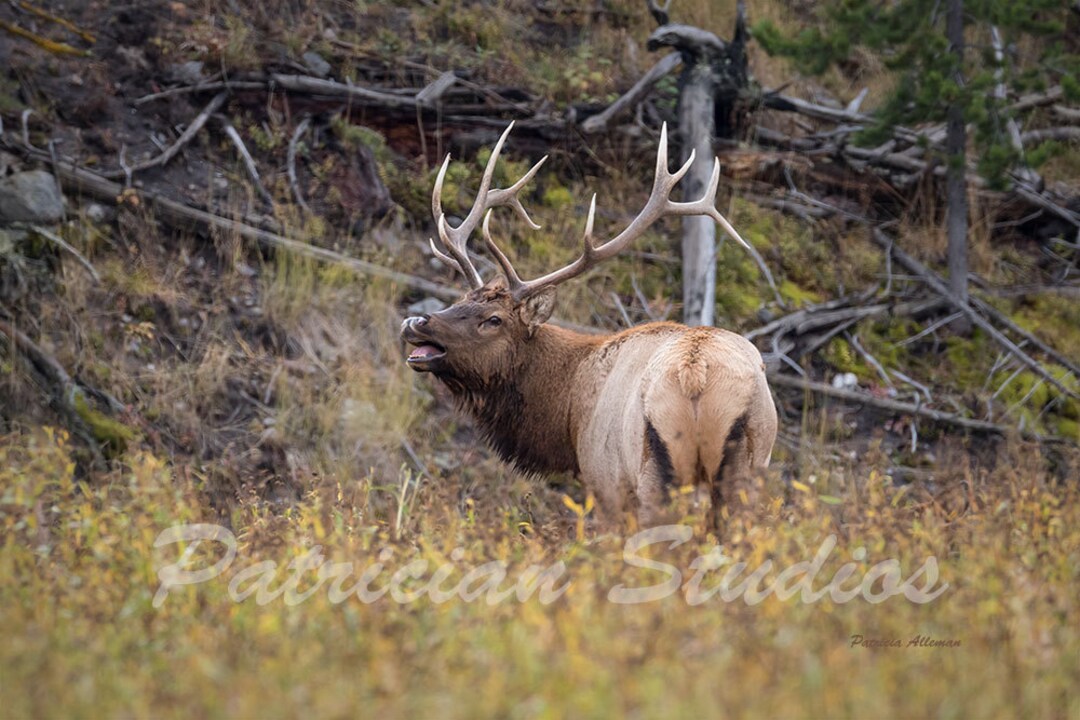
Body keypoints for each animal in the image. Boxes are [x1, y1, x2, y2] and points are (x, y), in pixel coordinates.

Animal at [400, 123, 777, 529]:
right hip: (750, 466)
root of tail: (697, 374)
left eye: (494, 320)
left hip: (655, 472)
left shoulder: (606, 482)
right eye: (459, 300)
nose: (415, 322)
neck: (568, 415)